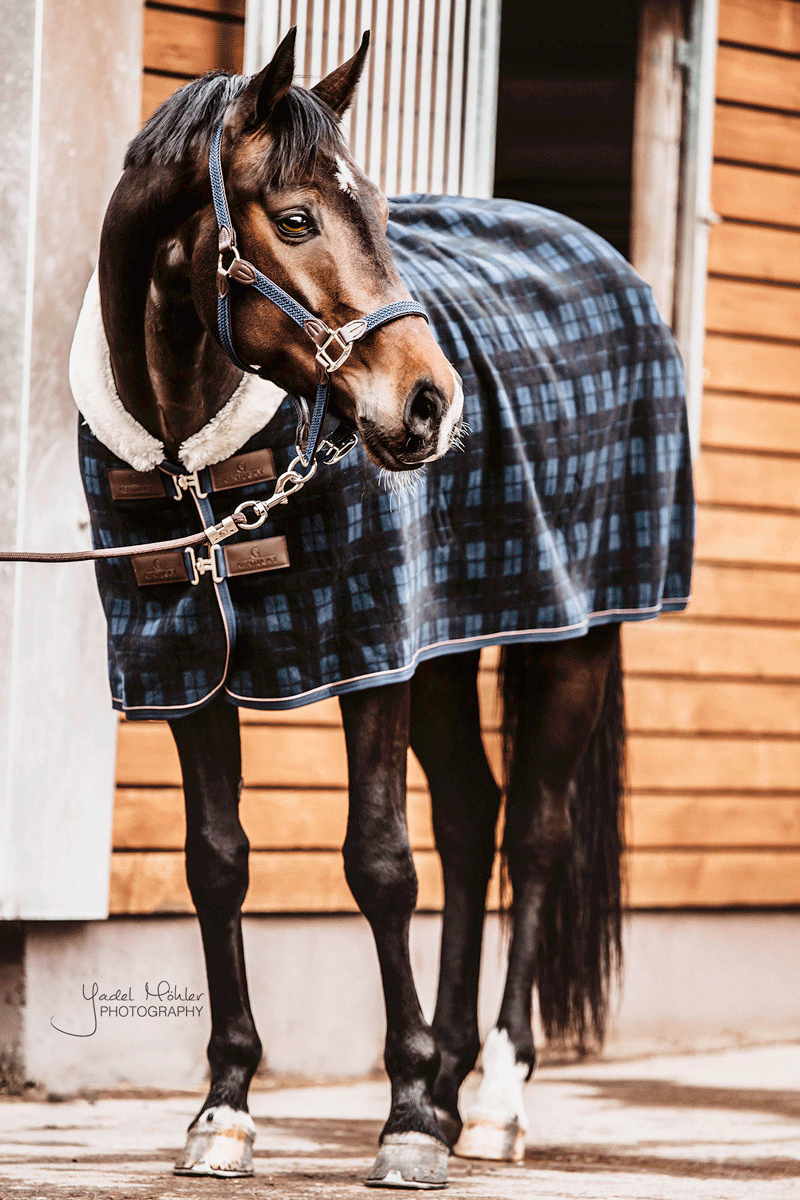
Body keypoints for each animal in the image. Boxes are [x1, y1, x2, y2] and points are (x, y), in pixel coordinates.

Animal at [73, 23, 695, 1185]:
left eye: (378, 212)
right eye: (297, 217)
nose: (429, 404)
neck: (198, 465)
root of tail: (605, 260)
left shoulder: (372, 657)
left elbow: (380, 864)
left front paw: (404, 1118)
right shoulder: (190, 673)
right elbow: (216, 864)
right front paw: (225, 1111)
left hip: (573, 643)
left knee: (532, 836)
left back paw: (488, 1102)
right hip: (445, 653)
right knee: (472, 817)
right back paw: (452, 1085)